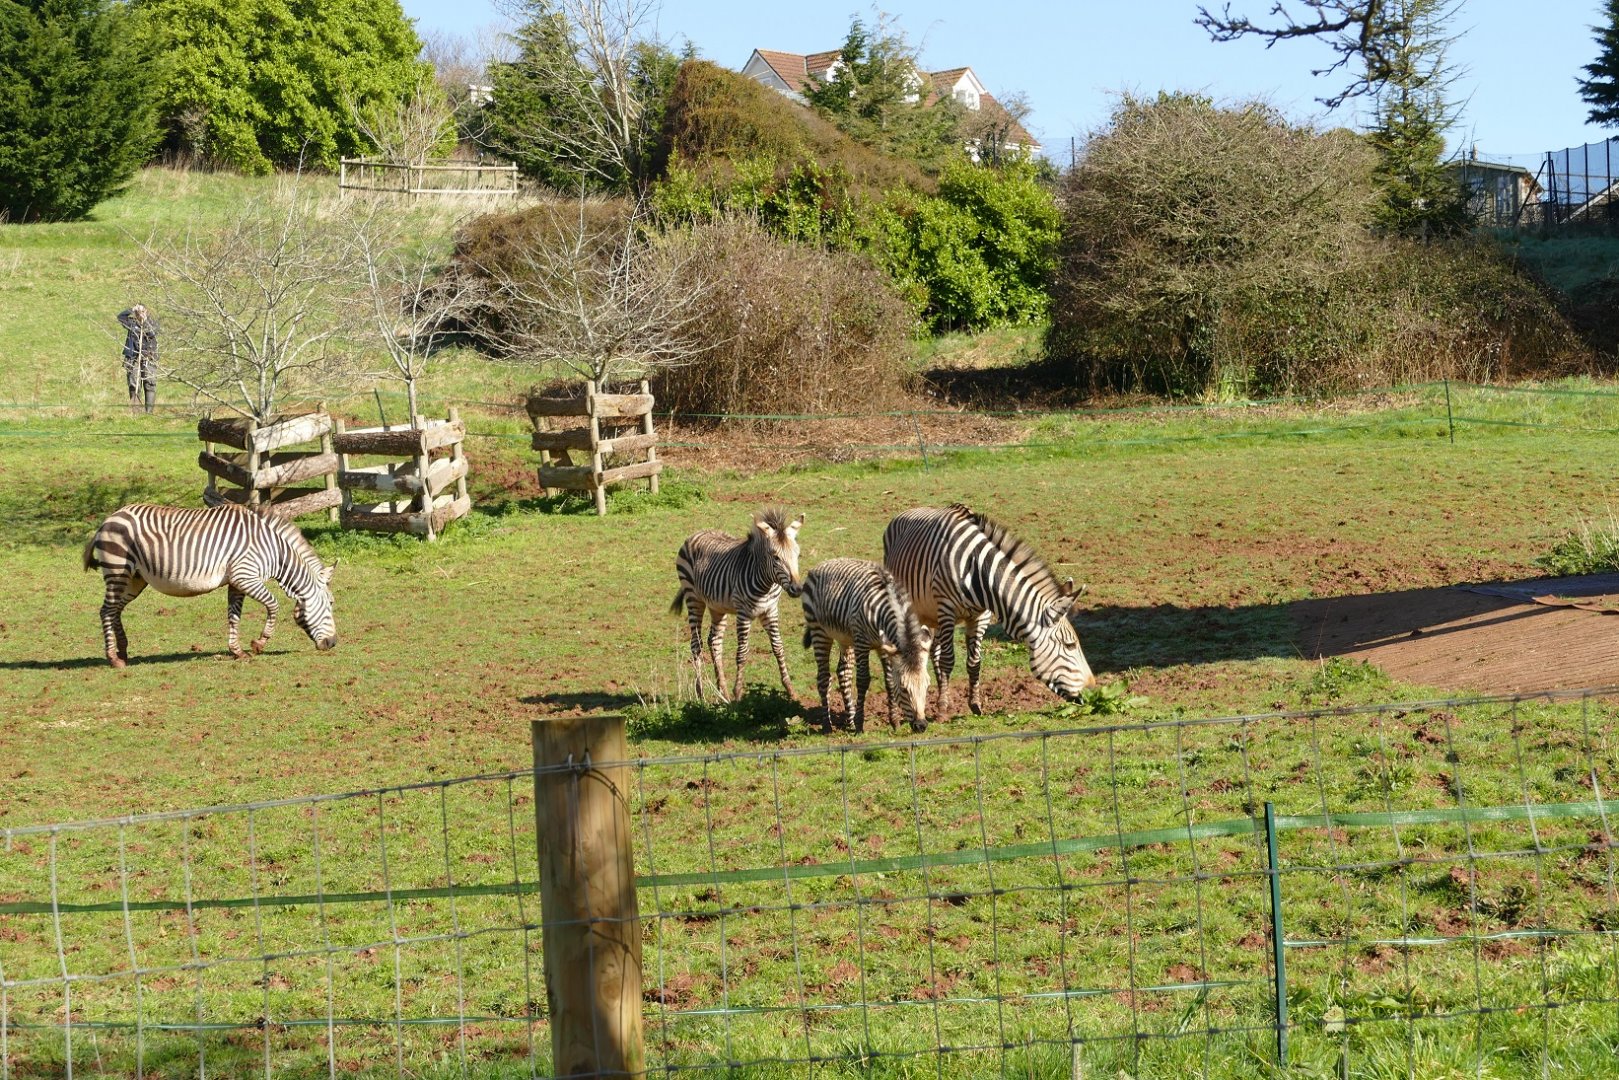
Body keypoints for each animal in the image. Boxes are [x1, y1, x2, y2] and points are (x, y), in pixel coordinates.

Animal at [83, 503, 338, 668]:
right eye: (331, 604)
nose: (333, 643)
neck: (274, 551)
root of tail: (108, 519)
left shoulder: (236, 582)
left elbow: (234, 616)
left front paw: (237, 651)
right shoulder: (246, 576)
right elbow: (273, 605)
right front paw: (258, 644)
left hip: (135, 579)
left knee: (115, 610)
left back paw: (123, 651)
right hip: (118, 569)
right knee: (106, 610)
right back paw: (113, 659)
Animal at [671, 507, 804, 702]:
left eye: (797, 555)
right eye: (776, 557)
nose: (797, 589)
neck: (765, 584)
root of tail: (697, 532)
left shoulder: (770, 611)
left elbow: (778, 647)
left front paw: (791, 690)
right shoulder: (744, 614)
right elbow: (742, 652)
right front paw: (738, 692)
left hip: (717, 607)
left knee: (715, 641)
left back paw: (723, 692)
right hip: (693, 598)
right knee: (696, 644)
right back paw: (700, 693)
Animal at [799, 558, 932, 734]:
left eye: (927, 686)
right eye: (904, 688)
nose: (921, 726)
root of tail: (823, 563)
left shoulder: (885, 647)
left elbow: (889, 681)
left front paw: (894, 722)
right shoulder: (861, 642)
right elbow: (863, 680)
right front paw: (860, 725)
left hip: (845, 637)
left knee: (844, 672)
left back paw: (849, 722)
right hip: (819, 631)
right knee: (823, 678)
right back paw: (828, 726)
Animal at [882, 503, 1094, 720]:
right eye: (1070, 645)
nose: (1091, 689)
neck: (978, 570)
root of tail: (908, 511)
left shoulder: (981, 616)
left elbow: (974, 662)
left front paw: (974, 704)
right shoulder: (947, 609)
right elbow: (948, 660)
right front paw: (942, 710)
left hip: (933, 614)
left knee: (935, 651)